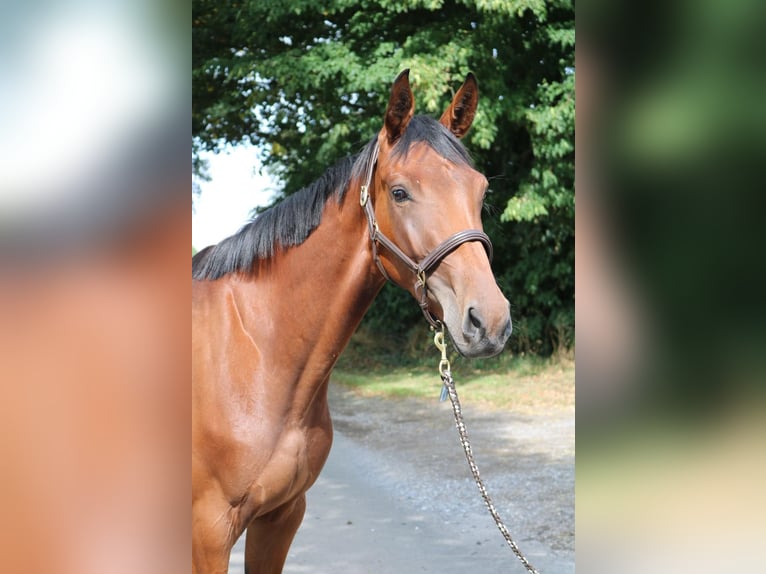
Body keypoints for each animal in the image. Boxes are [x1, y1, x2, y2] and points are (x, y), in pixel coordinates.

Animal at [192, 70, 512, 574]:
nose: (490, 321)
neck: (256, 352)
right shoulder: (208, 531)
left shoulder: (281, 516)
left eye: (480, 191)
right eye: (399, 192)